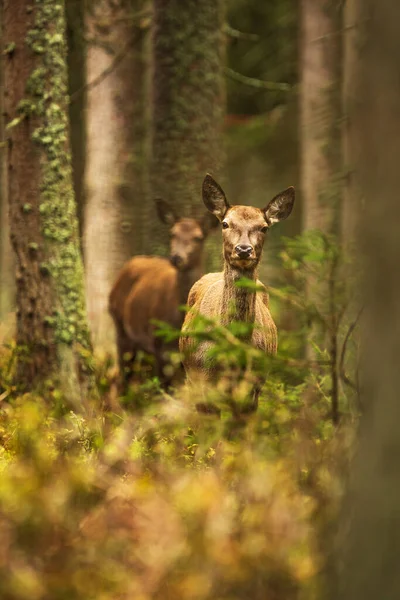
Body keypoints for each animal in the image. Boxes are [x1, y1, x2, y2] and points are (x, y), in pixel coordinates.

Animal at [108, 200, 217, 390]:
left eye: (198, 237)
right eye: (172, 233)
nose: (176, 257)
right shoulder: (159, 344)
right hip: (121, 327)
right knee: (122, 376)